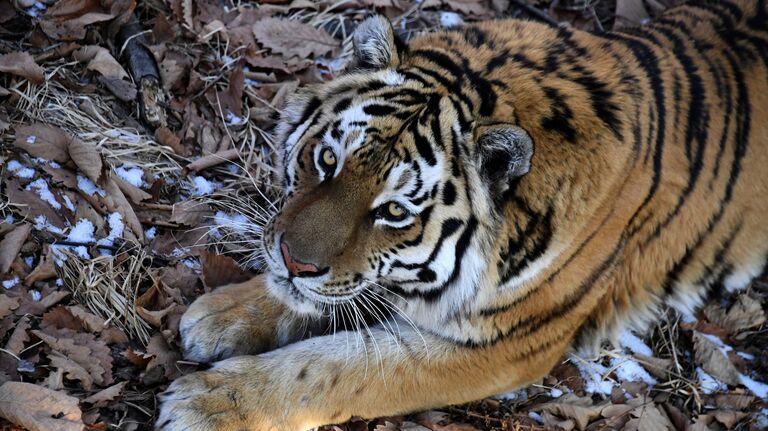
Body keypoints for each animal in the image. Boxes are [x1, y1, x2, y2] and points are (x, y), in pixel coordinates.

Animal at [154, 1, 768, 430]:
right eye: (328, 160)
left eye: (394, 211)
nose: (291, 261)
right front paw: (220, 315)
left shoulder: (502, 347)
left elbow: (333, 368)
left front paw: (208, 403)